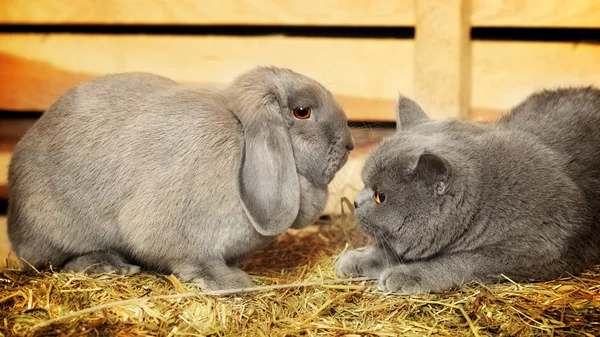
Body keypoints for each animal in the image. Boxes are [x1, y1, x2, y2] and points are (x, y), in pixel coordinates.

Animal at [9, 67, 354, 290]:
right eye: (302, 111)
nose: (350, 144)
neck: (241, 135)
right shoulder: (172, 231)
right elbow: (193, 260)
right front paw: (230, 282)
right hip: (54, 225)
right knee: (56, 259)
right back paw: (110, 265)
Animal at [336, 86, 600, 292]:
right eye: (364, 183)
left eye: (380, 197)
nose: (356, 202)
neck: (488, 202)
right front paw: (357, 259)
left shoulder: (533, 249)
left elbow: (459, 261)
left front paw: (408, 274)